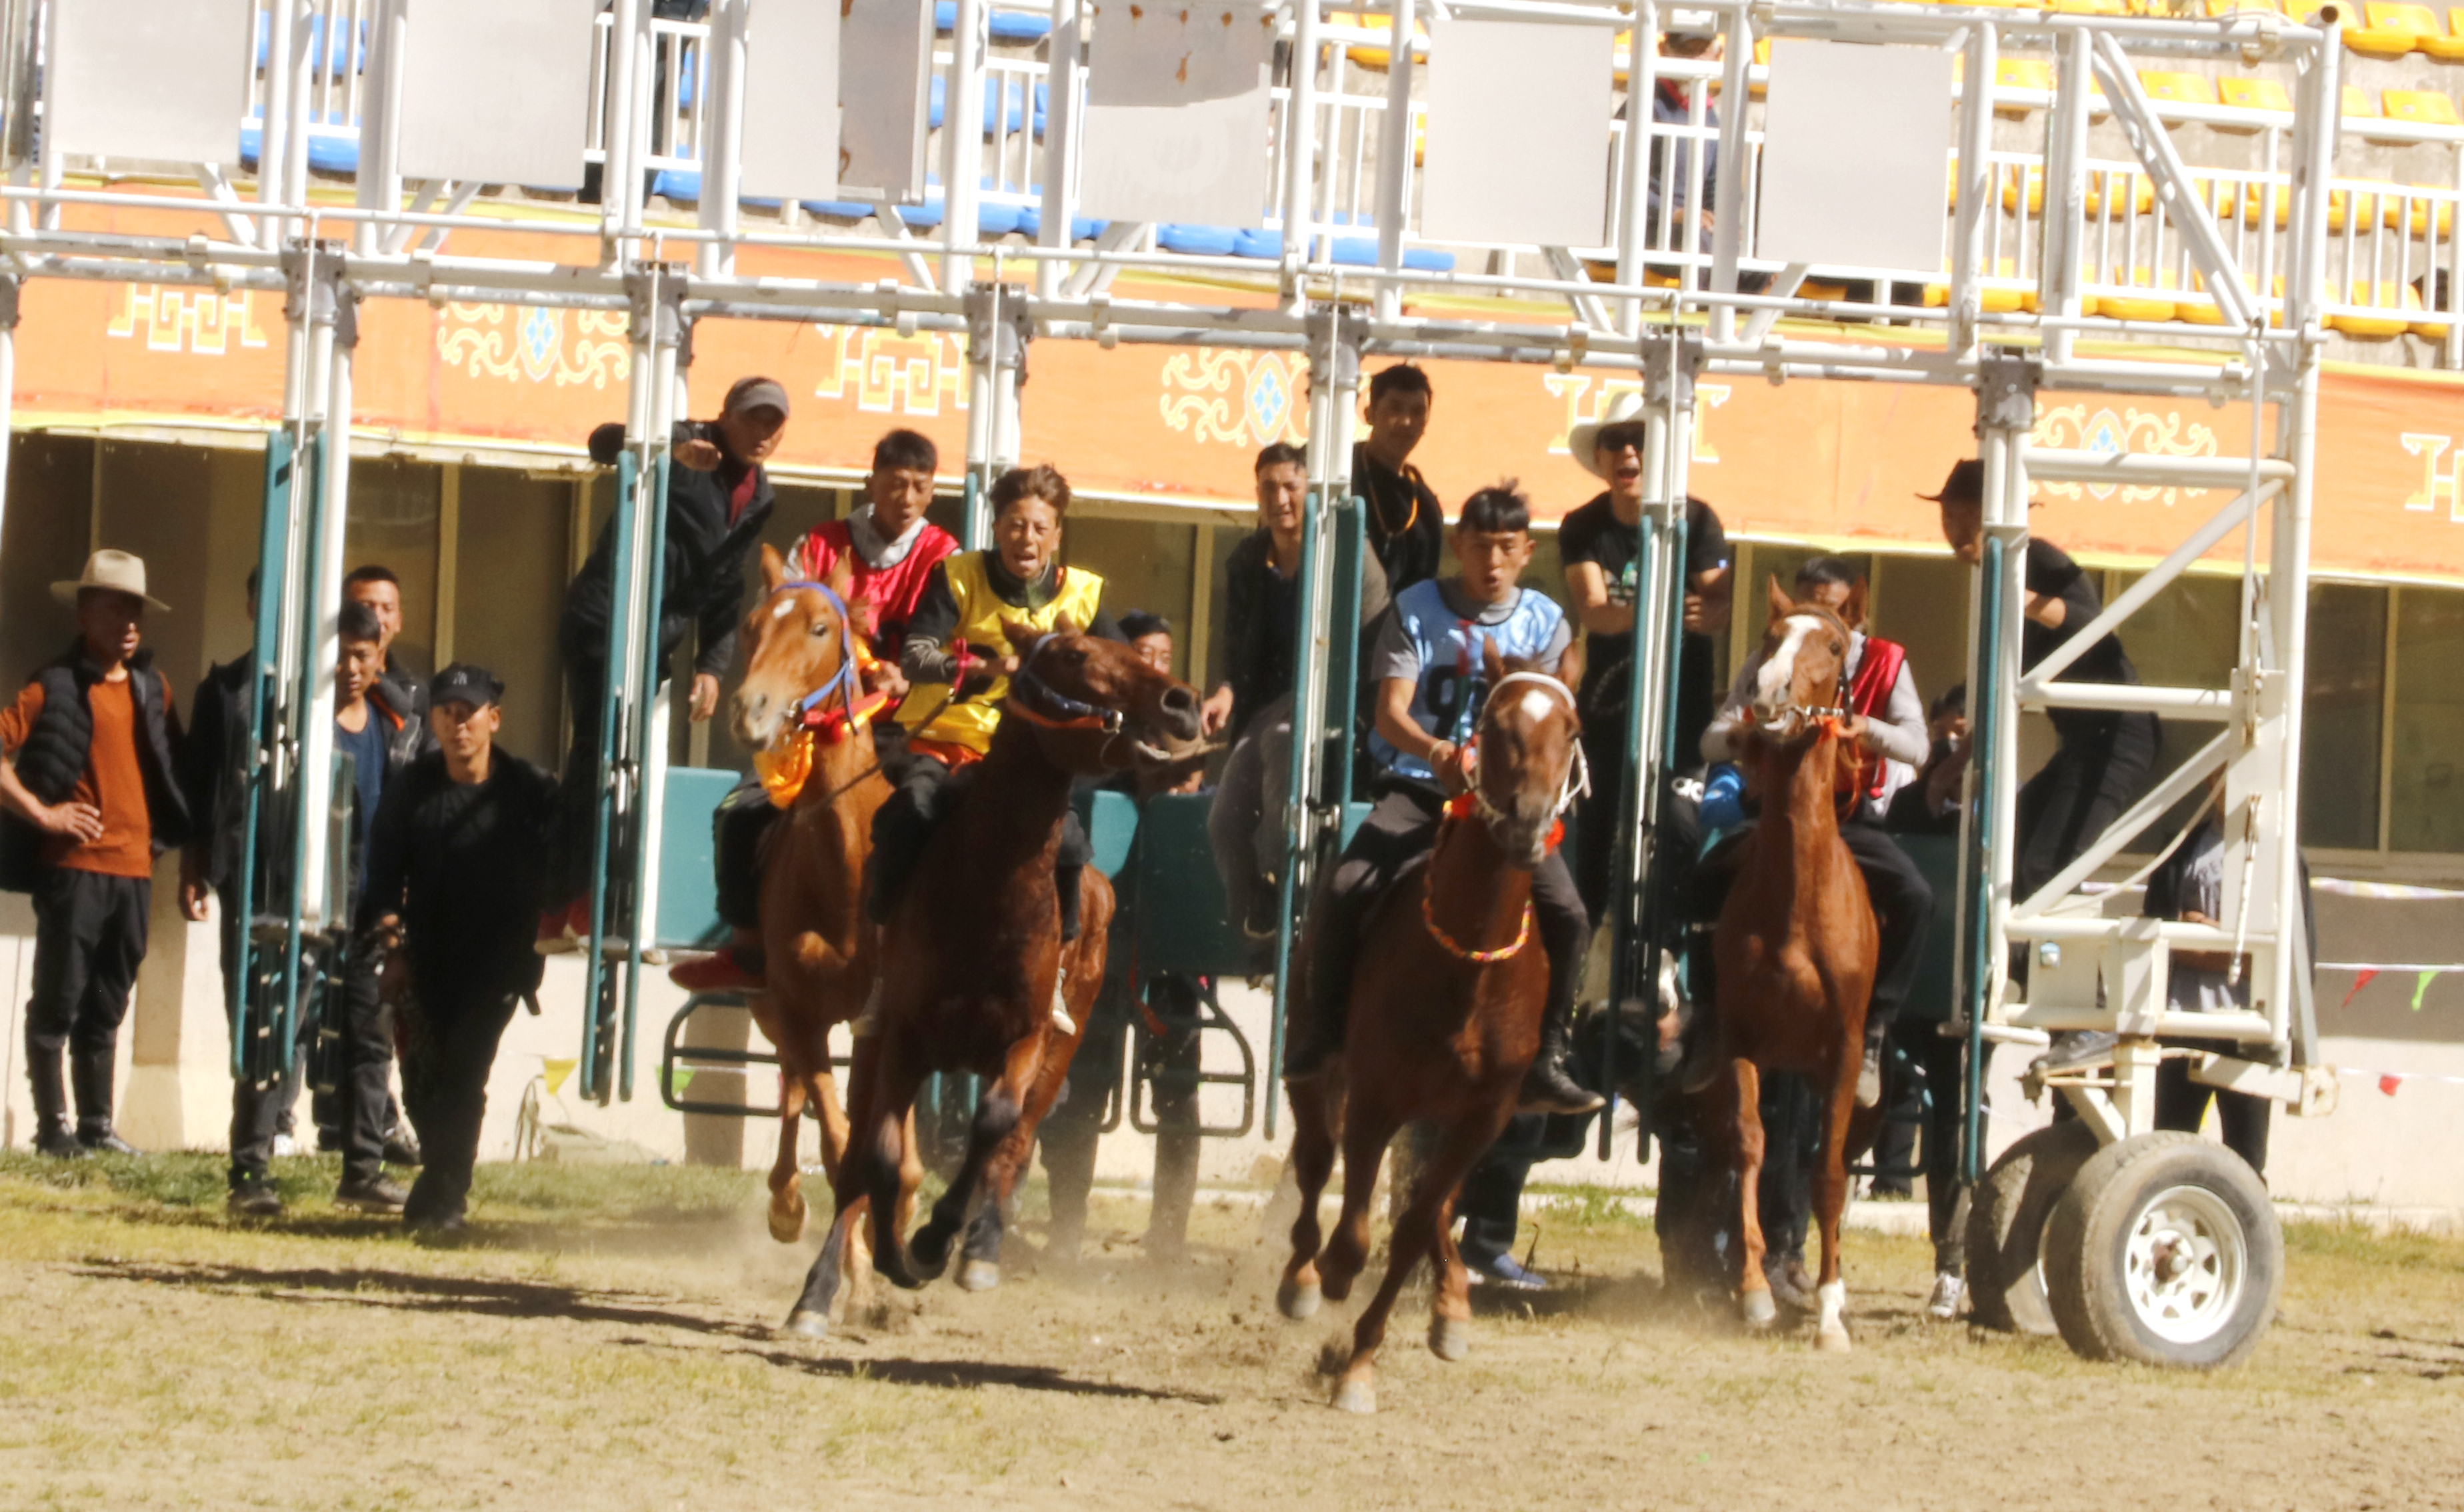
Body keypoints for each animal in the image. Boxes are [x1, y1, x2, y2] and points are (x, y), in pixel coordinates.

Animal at [729, 544, 926, 1255]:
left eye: (819, 629)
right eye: (751, 626)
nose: (751, 710)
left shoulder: (892, 1017)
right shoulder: (797, 1011)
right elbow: (837, 1139)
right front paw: (856, 1264)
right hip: (767, 1005)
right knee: (792, 1092)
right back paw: (787, 1201)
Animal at [778, 618, 1202, 1339]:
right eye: (1074, 654)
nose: (1182, 702)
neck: (990, 889)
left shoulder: (1027, 1039)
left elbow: (994, 1125)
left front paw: (937, 1239)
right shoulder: (902, 1038)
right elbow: (881, 1159)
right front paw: (894, 1256)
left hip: (1065, 1045)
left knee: (1018, 1141)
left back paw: (979, 1248)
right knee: (856, 1163)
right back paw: (819, 1291)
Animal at [1281, 635, 1587, 1418]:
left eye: (1569, 729)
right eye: (1497, 723)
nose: (1528, 823)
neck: (1467, 963)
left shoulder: (1485, 1114)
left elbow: (1416, 1226)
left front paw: (1360, 1364)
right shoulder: (1376, 1099)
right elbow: (1356, 1233)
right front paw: (1331, 1283)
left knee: (1435, 1203)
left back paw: (1450, 1310)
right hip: (1318, 1071)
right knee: (1315, 1163)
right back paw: (1302, 1280)